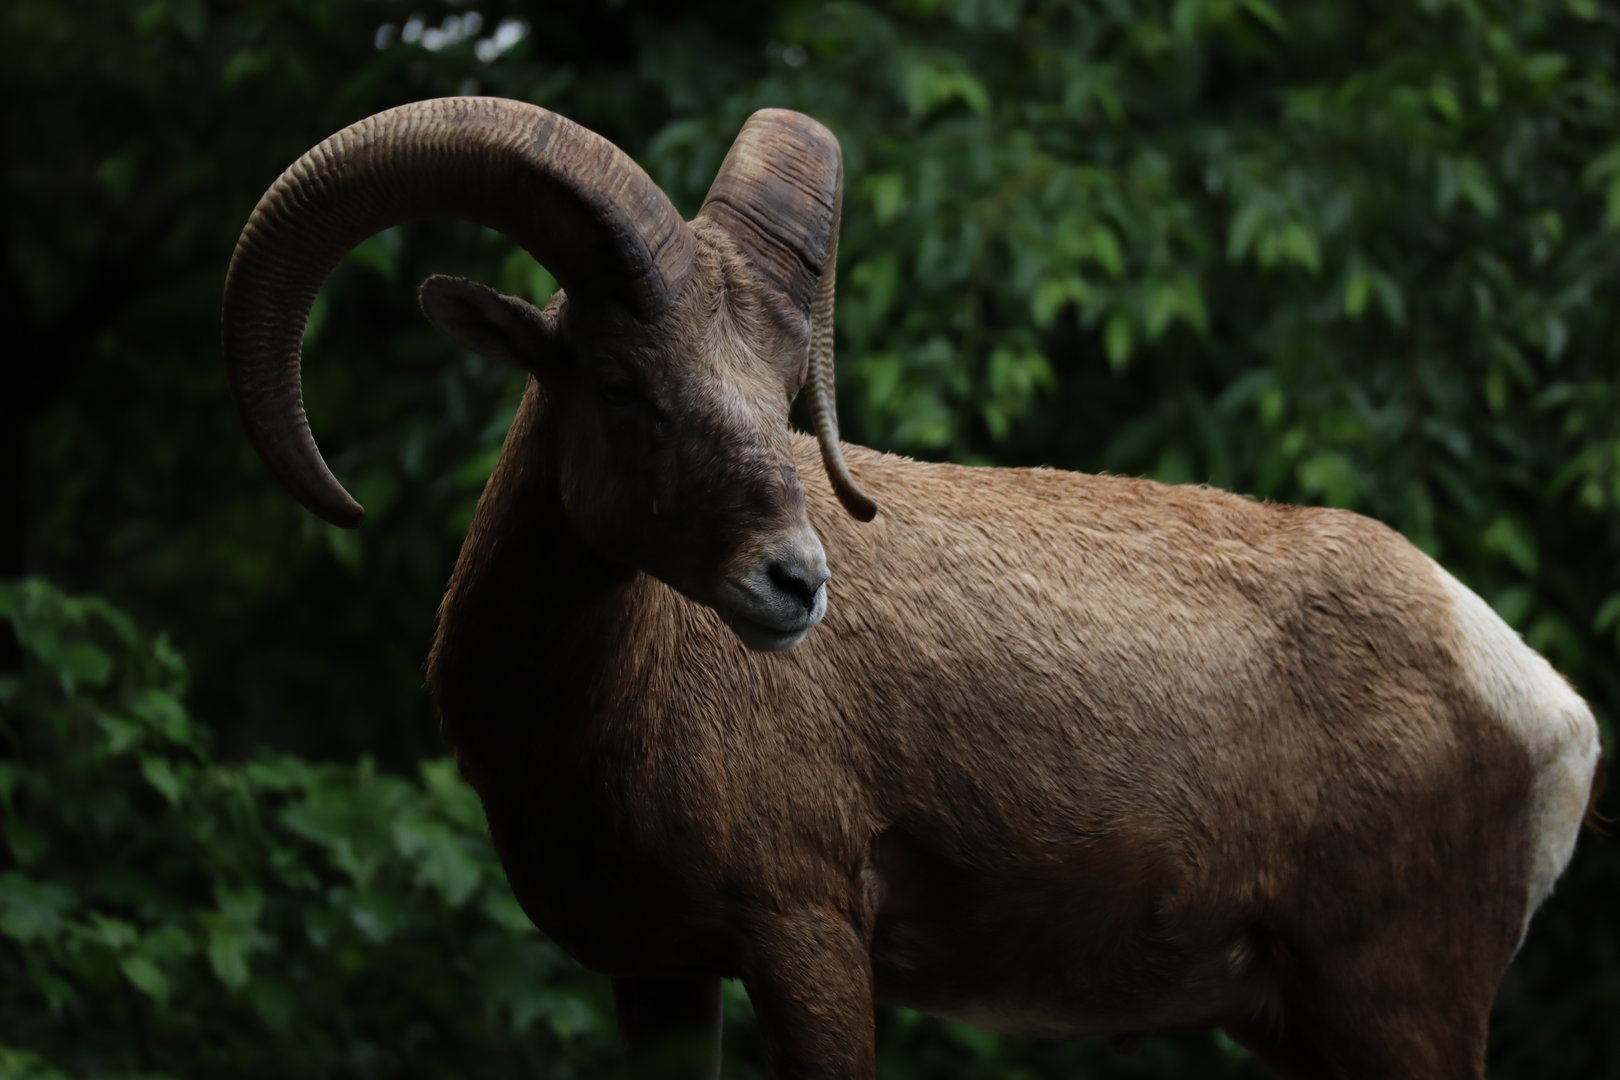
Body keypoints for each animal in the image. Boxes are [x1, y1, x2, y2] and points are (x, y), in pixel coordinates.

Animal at [222, 97, 1603, 1079]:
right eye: (621, 383)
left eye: (781, 393)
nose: (793, 585)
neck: (605, 707)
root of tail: (1539, 698)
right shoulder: (662, 978)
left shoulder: (807, 943)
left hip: (1397, 1006)